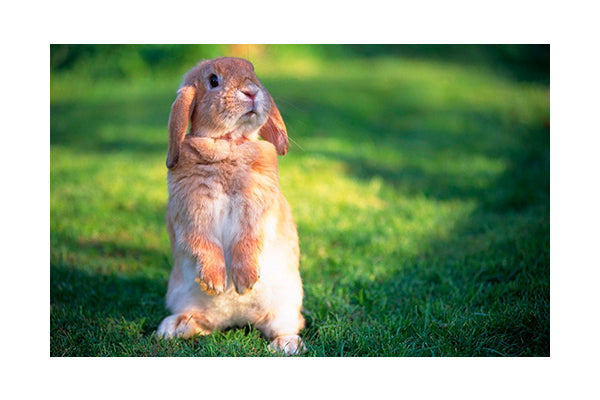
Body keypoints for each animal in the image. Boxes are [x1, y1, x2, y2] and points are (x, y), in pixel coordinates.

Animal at [156, 57, 304, 354]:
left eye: (253, 72)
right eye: (213, 80)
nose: (252, 92)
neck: (228, 143)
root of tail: (236, 319)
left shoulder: (257, 212)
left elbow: (248, 242)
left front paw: (245, 282)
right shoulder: (192, 214)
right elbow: (204, 243)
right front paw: (215, 283)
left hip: (286, 304)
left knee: (287, 326)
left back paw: (285, 345)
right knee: (202, 323)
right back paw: (172, 327)